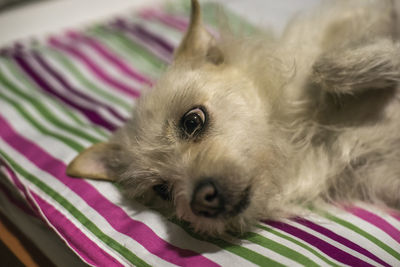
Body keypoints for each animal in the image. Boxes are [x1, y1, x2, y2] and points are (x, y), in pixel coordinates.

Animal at [67, 0, 400, 234]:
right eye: (161, 190)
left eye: (192, 121)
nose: (202, 200)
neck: (308, 133)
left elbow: (323, 66)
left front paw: (364, 63)